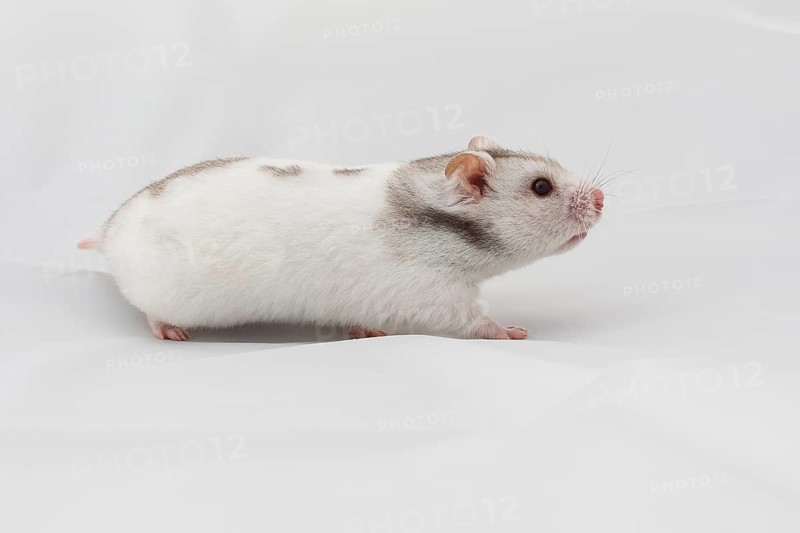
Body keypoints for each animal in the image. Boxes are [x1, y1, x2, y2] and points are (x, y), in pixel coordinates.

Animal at [77, 136, 605, 341]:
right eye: (541, 187)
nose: (602, 198)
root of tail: (108, 233)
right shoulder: (436, 298)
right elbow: (477, 322)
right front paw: (513, 331)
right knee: (150, 311)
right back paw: (168, 330)